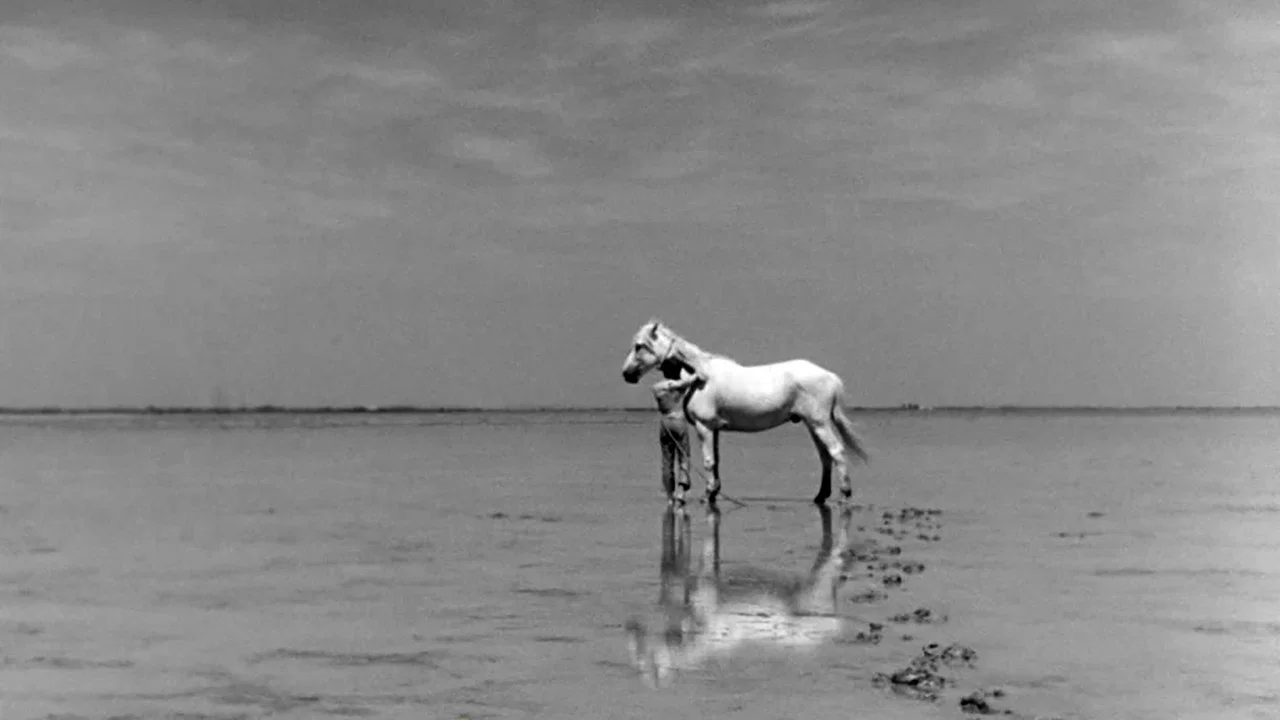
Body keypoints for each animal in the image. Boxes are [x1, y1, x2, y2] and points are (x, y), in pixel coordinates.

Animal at [621, 318, 870, 505]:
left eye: (639, 346)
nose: (626, 374)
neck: (699, 377)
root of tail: (831, 377)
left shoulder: (704, 426)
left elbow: (709, 461)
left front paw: (707, 495)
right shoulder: (715, 429)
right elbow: (717, 460)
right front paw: (714, 491)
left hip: (819, 423)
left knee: (836, 452)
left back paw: (844, 495)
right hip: (812, 424)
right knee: (825, 456)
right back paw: (820, 496)